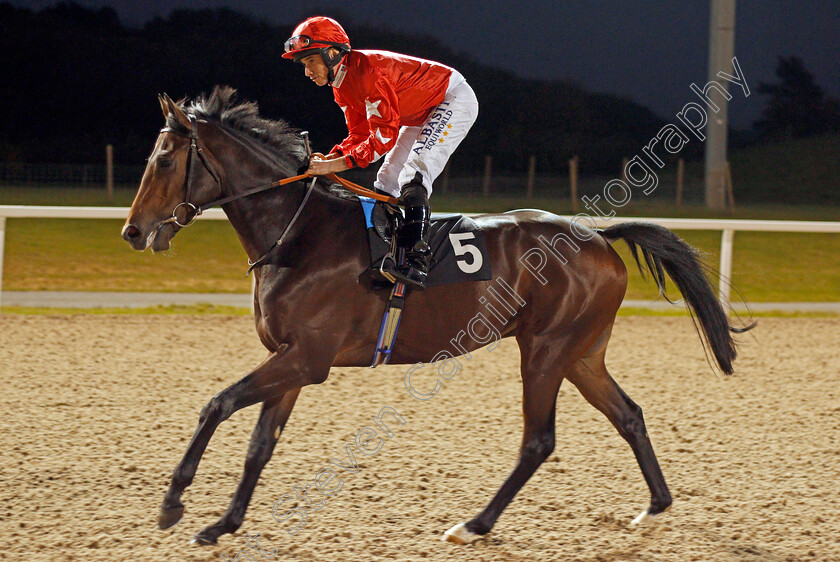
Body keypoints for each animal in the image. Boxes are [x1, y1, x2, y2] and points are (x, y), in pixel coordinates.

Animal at [121, 86, 744, 544]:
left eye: (165, 158)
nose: (133, 231)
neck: (298, 233)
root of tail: (598, 236)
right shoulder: (290, 360)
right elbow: (259, 444)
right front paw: (222, 523)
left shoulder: (307, 359)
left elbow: (217, 405)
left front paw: (173, 503)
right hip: (581, 353)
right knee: (628, 414)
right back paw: (654, 507)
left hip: (545, 349)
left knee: (538, 440)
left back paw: (474, 524)